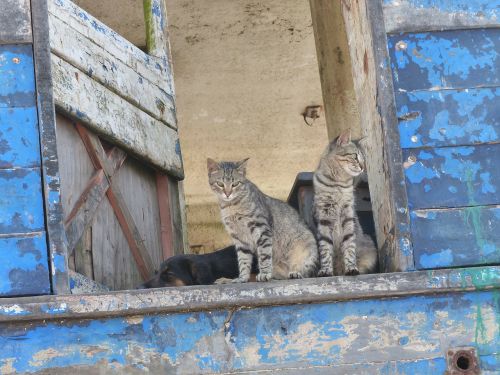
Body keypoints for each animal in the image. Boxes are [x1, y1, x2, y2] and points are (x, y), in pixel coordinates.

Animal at [314, 131, 376, 276]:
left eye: (363, 159)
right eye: (355, 156)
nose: (363, 167)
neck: (338, 182)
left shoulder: (347, 215)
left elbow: (349, 246)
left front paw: (351, 268)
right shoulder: (324, 217)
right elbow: (325, 248)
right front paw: (326, 270)